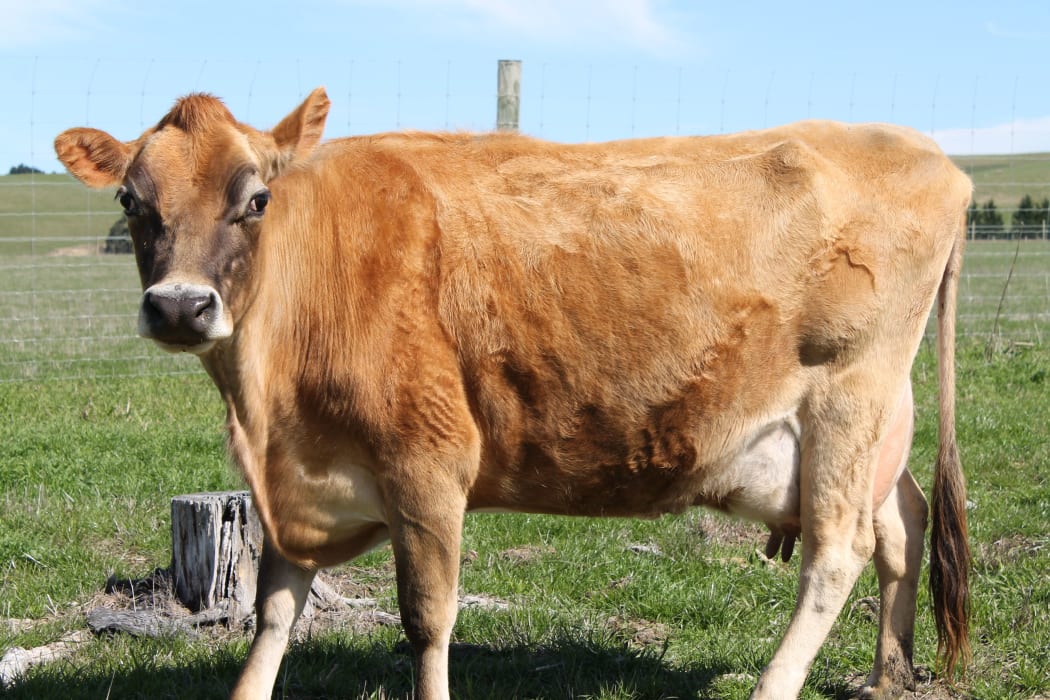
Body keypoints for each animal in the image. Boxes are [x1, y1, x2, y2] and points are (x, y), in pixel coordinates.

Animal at [54, 87, 971, 700]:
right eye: (132, 201)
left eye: (254, 199)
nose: (180, 306)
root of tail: (932, 156)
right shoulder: (293, 478)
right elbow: (271, 616)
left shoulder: (427, 462)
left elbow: (427, 620)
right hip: (872, 422)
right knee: (903, 522)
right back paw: (890, 674)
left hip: (848, 398)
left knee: (838, 550)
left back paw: (777, 687)